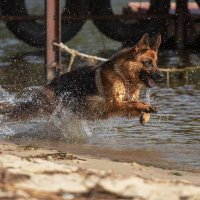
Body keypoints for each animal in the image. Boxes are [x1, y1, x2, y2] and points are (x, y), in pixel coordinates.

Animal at [0, 34, 164, 125]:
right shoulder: (114, 105)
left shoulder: (121, 109)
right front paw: (147, 108)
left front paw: (146, 115)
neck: (123, 77)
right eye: (148, 63)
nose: (162, 76)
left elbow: (137, 104)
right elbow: (136, 103)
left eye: (156, 63)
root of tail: (47, 86)